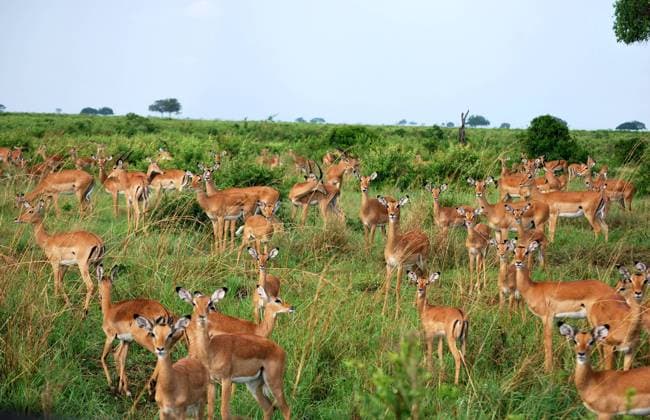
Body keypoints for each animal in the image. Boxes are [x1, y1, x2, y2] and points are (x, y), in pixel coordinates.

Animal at [97, 265, 174, 397]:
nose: (99, 296)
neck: (109, 310)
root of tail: (164, 311)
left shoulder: (110, 337)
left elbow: (104, 357)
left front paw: (112, 386)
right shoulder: (126, 341)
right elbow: (121, 358)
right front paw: (125, 389)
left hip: (145, 339)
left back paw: (150, 388)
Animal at [513, 240, 617, 372]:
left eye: (526, 252)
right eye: (514, 251)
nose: (518, 262)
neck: (532, 288)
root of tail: (613, 292)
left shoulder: (547, 317)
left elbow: (547, 341)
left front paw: (548, 369)